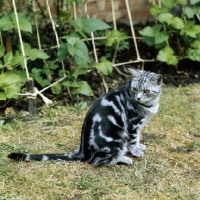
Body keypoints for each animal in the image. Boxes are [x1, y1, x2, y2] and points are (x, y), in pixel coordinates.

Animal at [8, 69, 163, 166]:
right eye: (135, 89)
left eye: (146, 91)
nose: (138, 97)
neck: (149, 105)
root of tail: (82, 151)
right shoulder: (132, 126)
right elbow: (132, 140)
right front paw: (135, 152)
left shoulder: (138, 126)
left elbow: (137, 138)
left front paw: (138, 146)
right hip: (118, 137)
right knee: (98, 161)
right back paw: (124, 159)